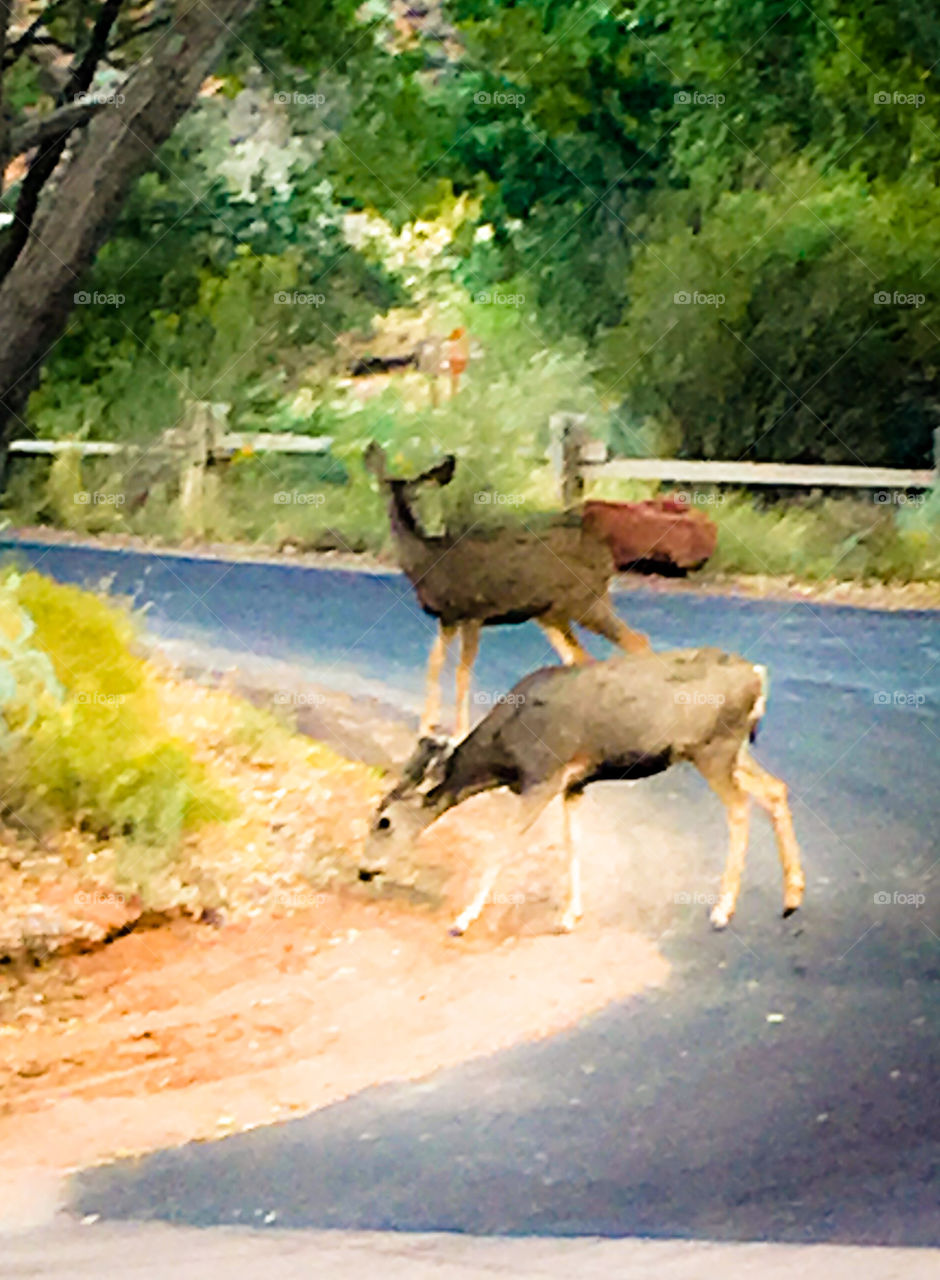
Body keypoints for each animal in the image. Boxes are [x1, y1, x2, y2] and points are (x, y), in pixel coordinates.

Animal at [359, 648, 805, 936]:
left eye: (383, 821)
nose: (364, 870)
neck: (504, 754)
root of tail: (758, 675)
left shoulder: (542, 775)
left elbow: (503, 843)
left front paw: (462, 920)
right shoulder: (574, 783)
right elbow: (572, 841)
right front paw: (570, 915)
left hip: (714, 746)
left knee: (740, 807)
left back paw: (722, 911)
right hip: (734, 749)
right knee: (775, 789)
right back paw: (792, 898)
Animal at [364, 441, 650, 740]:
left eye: (414, 494)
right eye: (384, 486)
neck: (428, 562)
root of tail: (604, 551)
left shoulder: (472, 611)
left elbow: (462, 671)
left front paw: (459, 732)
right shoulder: (447, 617)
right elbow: (434, 663)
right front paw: (425, 726)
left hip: (586, 600)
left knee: (637, 641)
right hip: (553, 613)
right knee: (582, 659)